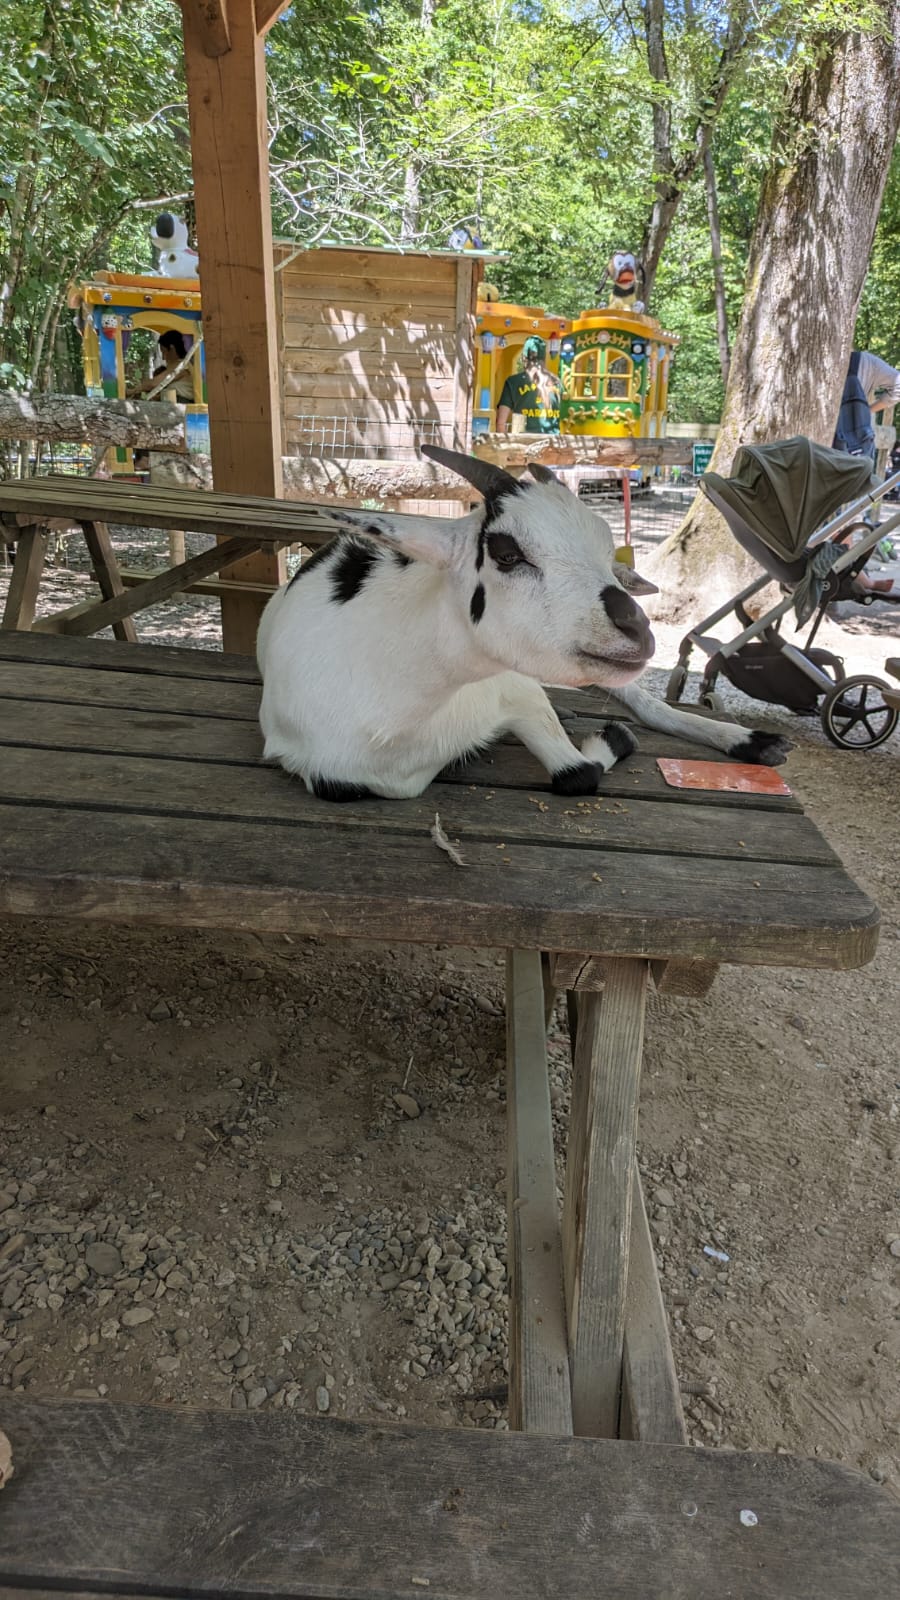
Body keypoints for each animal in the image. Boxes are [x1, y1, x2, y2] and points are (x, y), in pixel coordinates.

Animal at [257, 446, 791, 801]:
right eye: (507, 553)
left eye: (606, 552)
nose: (637, 630)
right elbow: (578, 773)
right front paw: (612, 737)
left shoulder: (516, 690)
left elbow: (578, 771)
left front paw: (615, 737)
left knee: (647, 702)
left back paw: (755, 742)